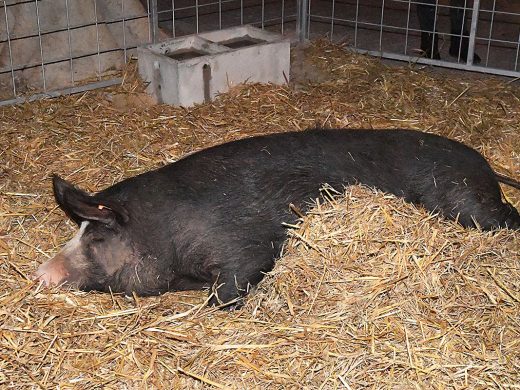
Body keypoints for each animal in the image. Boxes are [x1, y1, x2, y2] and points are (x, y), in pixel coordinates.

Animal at [35, 129, 520, 308]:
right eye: (78, 231)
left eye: (96, 238)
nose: (41, 273)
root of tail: (485, 164)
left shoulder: (247, 249)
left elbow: (230, 288)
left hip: (469, 203)